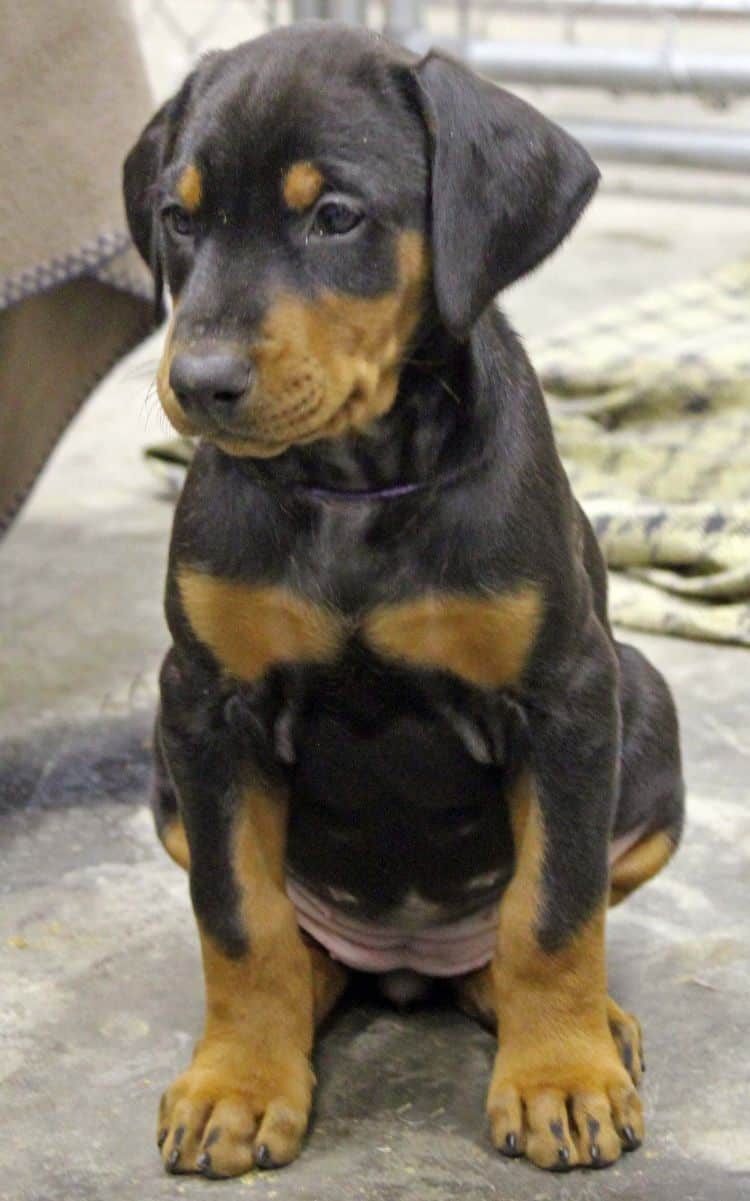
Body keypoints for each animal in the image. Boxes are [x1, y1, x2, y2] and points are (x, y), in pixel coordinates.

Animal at [124, 21, 687, 1181]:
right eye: (179, 217)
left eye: (336, 216)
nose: (198, 383)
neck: (354, 485)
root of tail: (408, 961)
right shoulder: (203, 704)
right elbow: (236, 918)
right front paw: (238, 1082)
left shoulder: (569, 695)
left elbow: (554, 909)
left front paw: (561, 1075)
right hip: (163, 769)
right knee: (300, 945)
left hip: (643, 698)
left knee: (519, 934)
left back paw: (589, 1024)